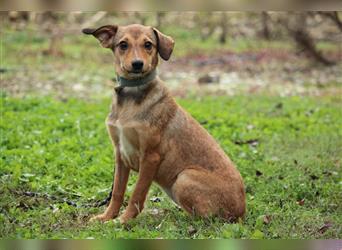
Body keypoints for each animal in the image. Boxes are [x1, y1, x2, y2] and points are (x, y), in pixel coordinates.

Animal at [81, 23, 244, 224]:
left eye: (148, 44)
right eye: (123, 44)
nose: (137, 64)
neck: (131, 96)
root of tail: (241, 213)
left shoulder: (150, 156)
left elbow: (137, 194)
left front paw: (123, 221)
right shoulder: (120, 154)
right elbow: (117, 192)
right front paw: (107, 217)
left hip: (184, 178)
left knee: (206, 219)